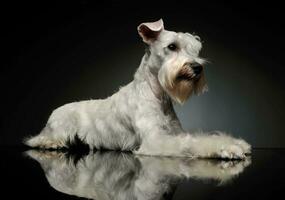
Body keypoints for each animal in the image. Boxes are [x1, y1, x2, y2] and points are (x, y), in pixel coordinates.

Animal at [25, 19, 251, 159]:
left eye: (195, 49)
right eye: (172, 46)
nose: (197, 68)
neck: (157, 95)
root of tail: (53, 113)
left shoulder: (174, 133)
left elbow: (200, 136)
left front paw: (237, 143)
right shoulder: (157, 140)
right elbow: (191, 143)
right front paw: (227, 148)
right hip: (58, 129)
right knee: (38, 140)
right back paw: (50, 143)